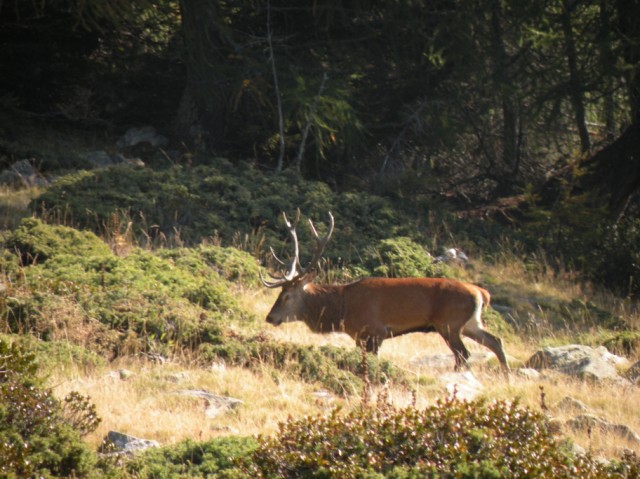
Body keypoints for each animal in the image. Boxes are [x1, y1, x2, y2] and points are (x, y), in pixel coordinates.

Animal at [260, 211, 509, 372]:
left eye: (287, 296)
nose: (269, 317)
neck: (342, 309)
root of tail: (481, 293)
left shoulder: (374, 331)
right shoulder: (360, 337)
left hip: (449, 323)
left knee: (463, 355)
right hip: (470, 323)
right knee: (495, 341)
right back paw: (506, 375)